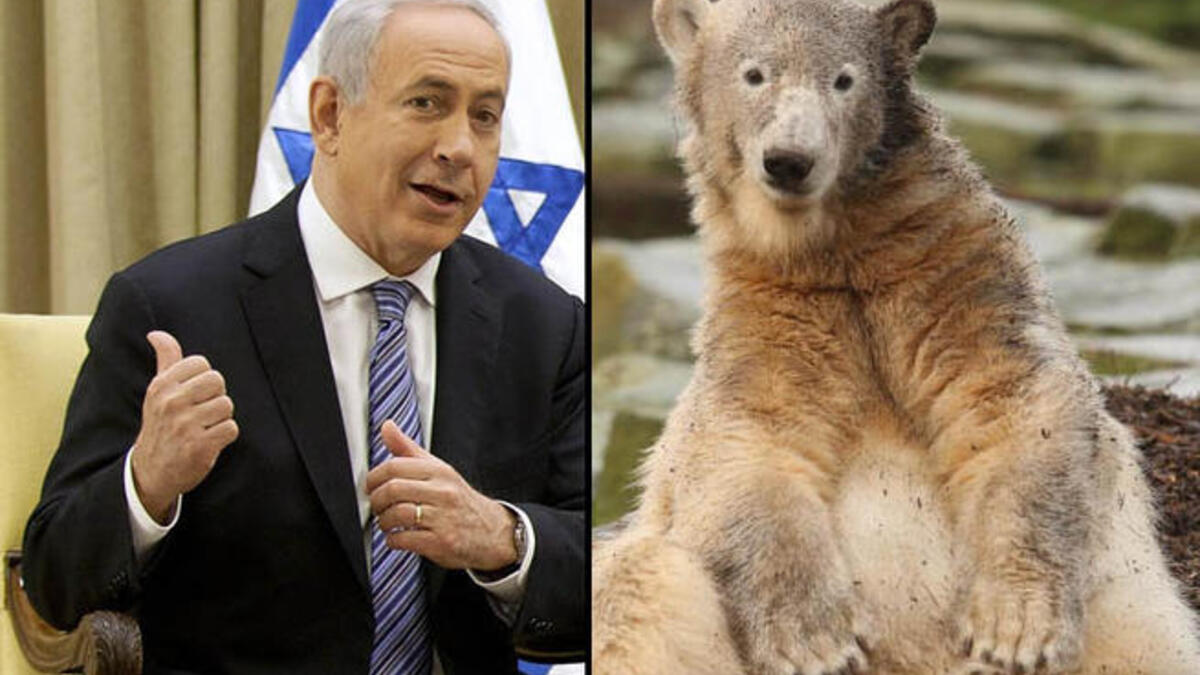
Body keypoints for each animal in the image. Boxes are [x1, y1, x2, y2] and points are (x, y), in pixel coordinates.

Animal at [591, 0, 1200, 673]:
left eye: (844, 79)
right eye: (755, 75)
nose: (790, 160)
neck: (838, 259)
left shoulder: (959, 284)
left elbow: (1016, 409)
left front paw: (1013, 629)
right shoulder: (763, 327)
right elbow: (742, 449)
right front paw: (817, 644)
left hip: (1121, 606)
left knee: (1144, 638)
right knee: (638, 584)